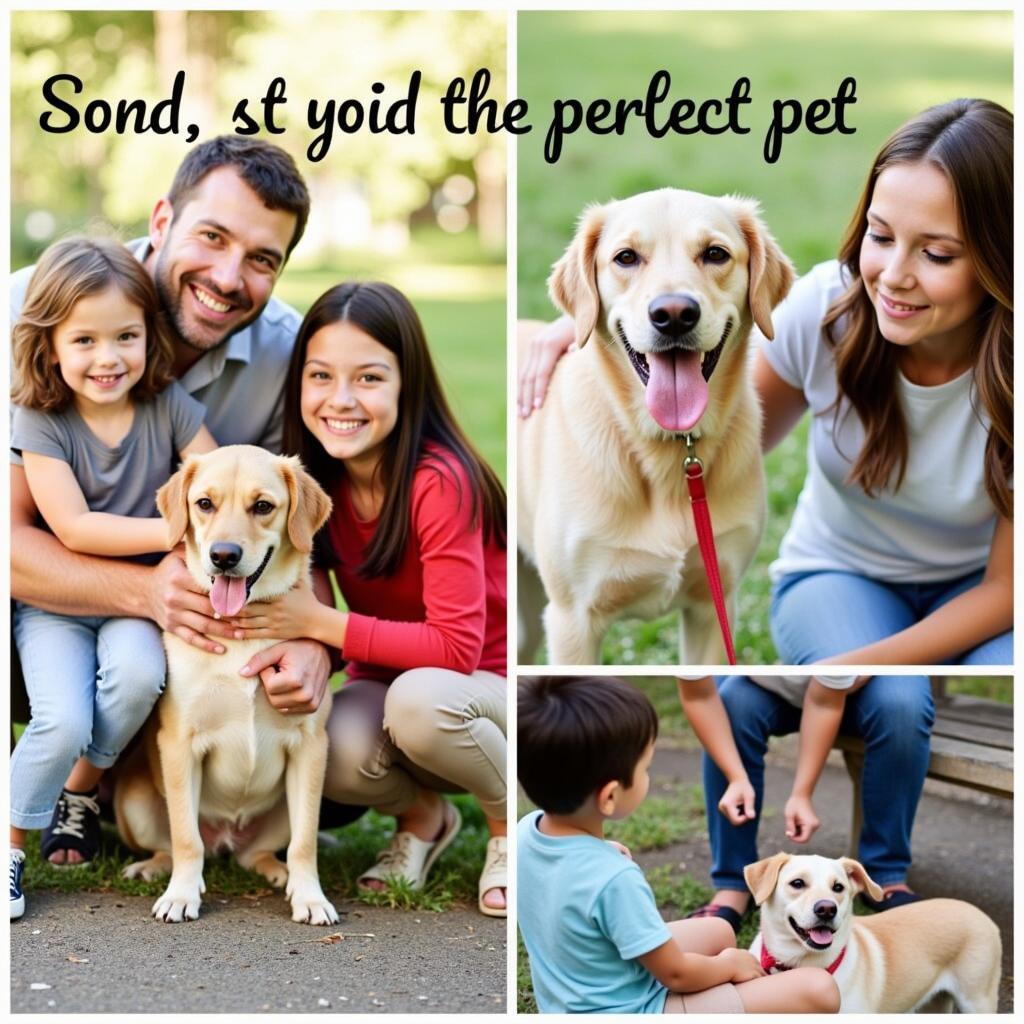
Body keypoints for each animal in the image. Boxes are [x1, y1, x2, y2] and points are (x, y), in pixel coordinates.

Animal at [112, 444, 337, 925]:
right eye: (204, 503)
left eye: (263, 506)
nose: (224, 556)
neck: (240, 633)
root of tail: (226, 839)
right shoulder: (179, 743)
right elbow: (185, 837)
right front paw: (181, 895)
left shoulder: (311, 746)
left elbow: (305, 843)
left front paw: (310, 897)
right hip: (135, 800)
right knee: (178, 844)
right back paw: (155, 868)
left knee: (261, 853)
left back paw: (277, 873)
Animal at [520, 186, 790, 663]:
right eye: (626, 257)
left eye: (715, 253)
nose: (675, 313)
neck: (670, 447)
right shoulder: (572, 622)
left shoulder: (714, 606)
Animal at [745, 851, 999, 1011]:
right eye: (797, 883)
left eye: (838, 887)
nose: (827, 909)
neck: (798, 966)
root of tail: (980, 913)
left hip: (977, 1000)